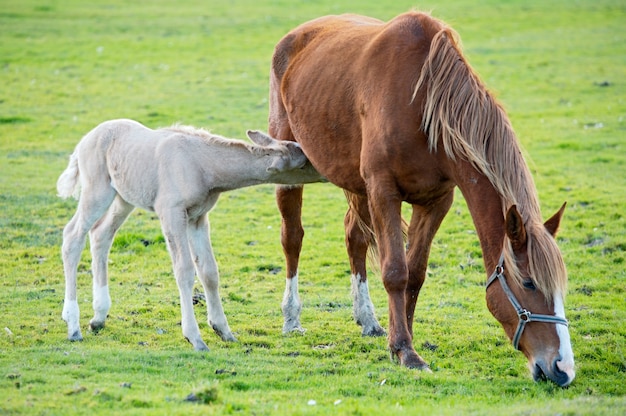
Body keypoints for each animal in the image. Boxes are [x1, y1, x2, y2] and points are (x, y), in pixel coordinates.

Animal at [266, 10, 572, 386]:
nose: (563, 368)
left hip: (355, 181)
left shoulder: (436, 201)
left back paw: (367, 318)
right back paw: (291, 317)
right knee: (292, 238)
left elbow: (415, 274)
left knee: (354, 237)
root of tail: (296, 35)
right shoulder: (383, 191)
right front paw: (405, 350)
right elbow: (395, 271)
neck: (423, 103)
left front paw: (401, 338)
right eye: (529, 283)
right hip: (290, 165)